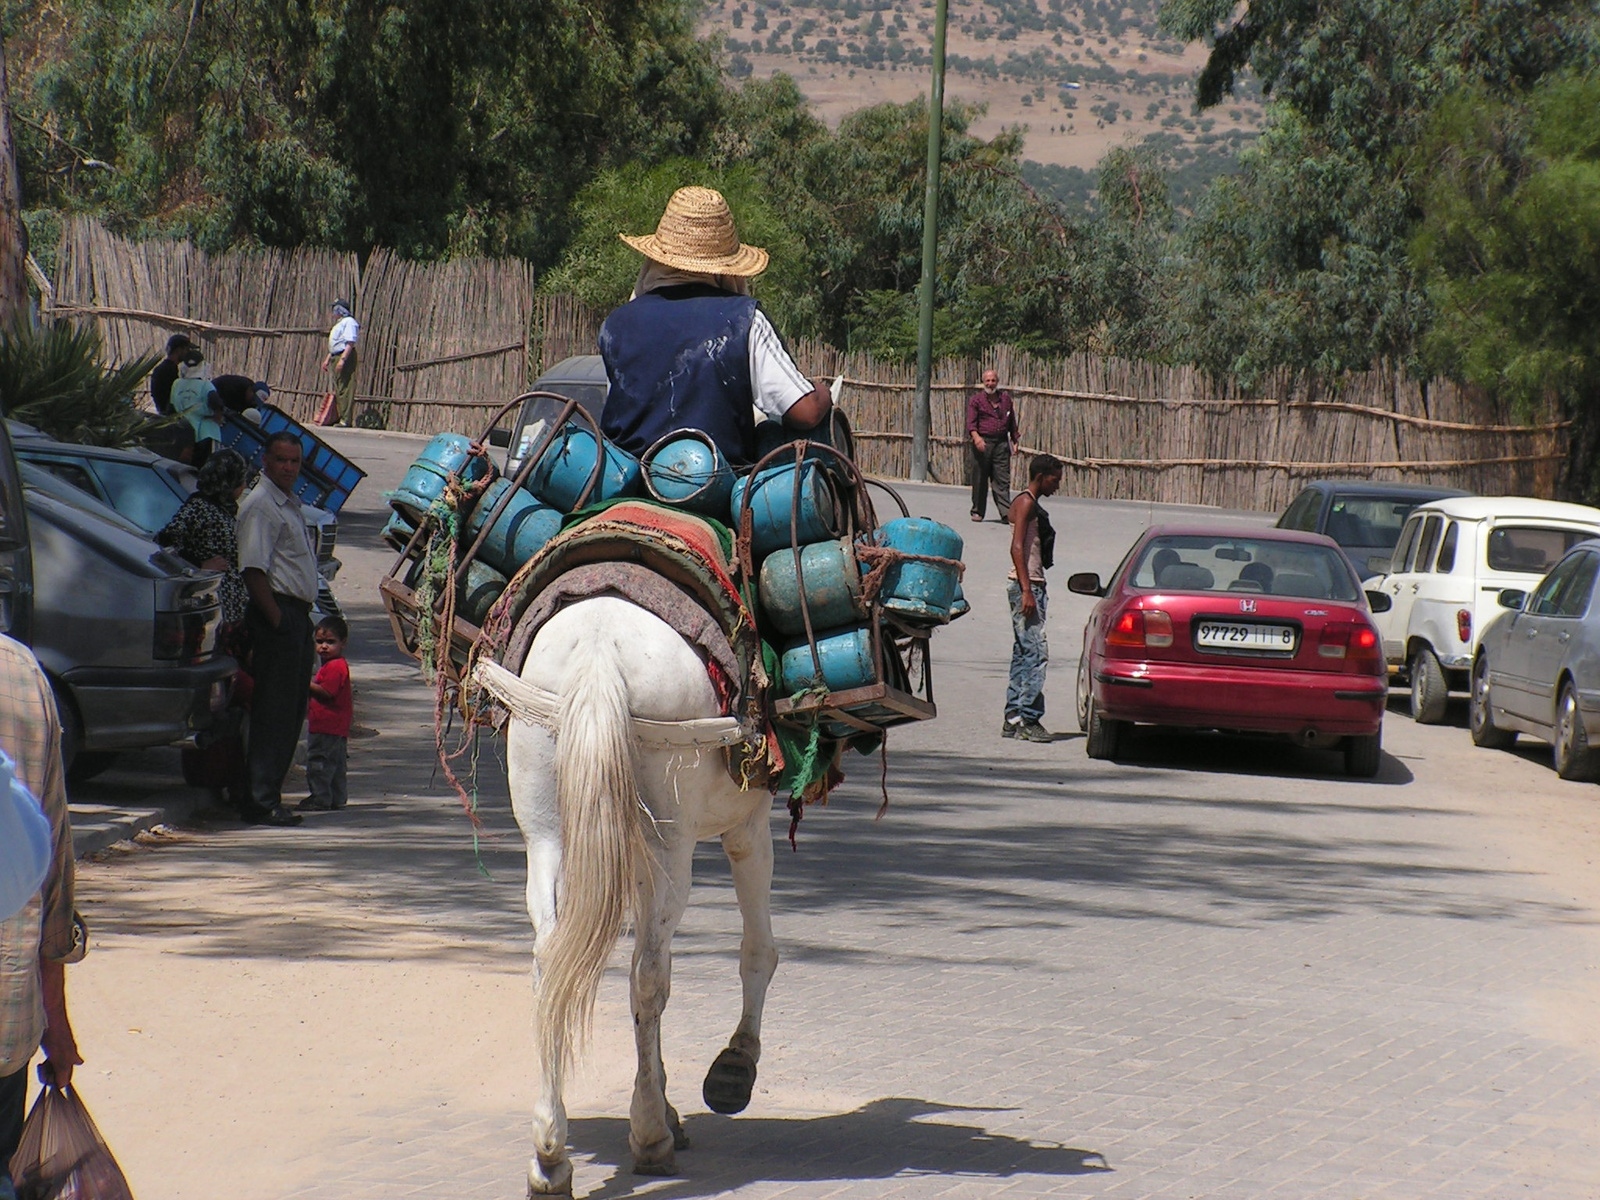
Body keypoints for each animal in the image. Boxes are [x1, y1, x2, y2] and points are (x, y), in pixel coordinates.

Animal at [499, 598, 774, 1196]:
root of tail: (600, 648)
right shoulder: (749, 819)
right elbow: (757, 952)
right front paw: (735, 1065)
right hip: (669, 840)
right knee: (648, 974)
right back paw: (650, 1137)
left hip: (544, 819)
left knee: (549, 963)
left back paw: (550, 1156)